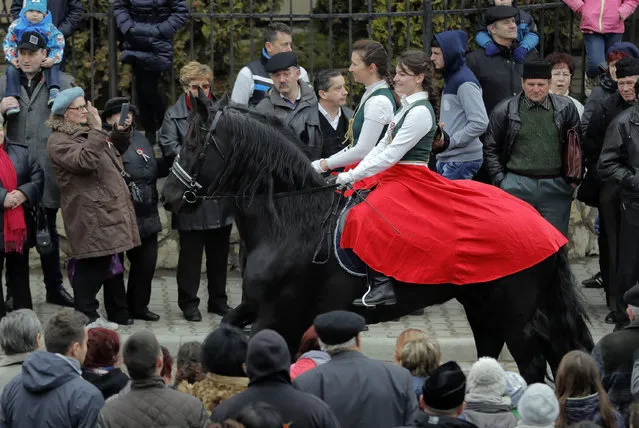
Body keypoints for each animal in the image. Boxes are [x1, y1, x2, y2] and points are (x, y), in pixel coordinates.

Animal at [161, 95, 596, 382]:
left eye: (194, 142)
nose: (167, 196)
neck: (291, 221)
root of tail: (546, 226)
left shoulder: (277, 313)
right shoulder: (259, 307)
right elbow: (227, 327)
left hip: (515, 314)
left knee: (533, 366)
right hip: (481, 305)